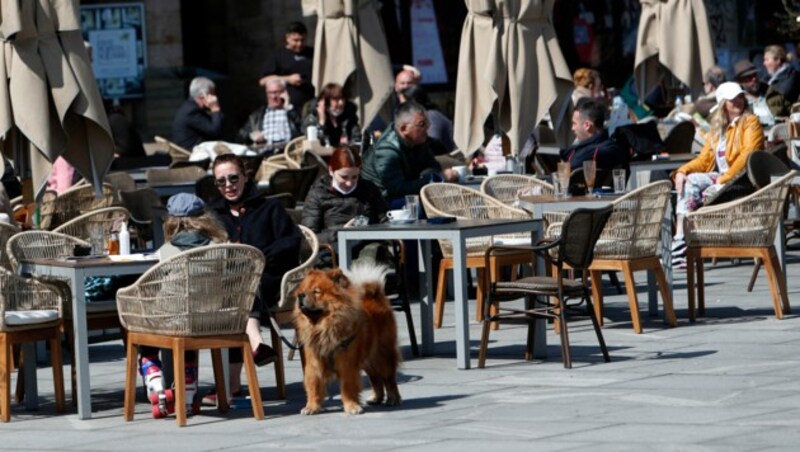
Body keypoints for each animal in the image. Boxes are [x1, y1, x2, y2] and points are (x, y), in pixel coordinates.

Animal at [296, 264, 404, 414]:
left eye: (316, 292)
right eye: (303, 290)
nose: (300, 296)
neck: (323, 327)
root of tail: (375, 296)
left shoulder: (347, 362)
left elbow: (348, 386)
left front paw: (351, 406)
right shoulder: (314, 363)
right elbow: (314, 386)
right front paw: (312, 407)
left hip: (383, 355)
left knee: (389, 378)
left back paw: (393, 398)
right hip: (368, 359)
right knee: (375, 379)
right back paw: (376, 398)